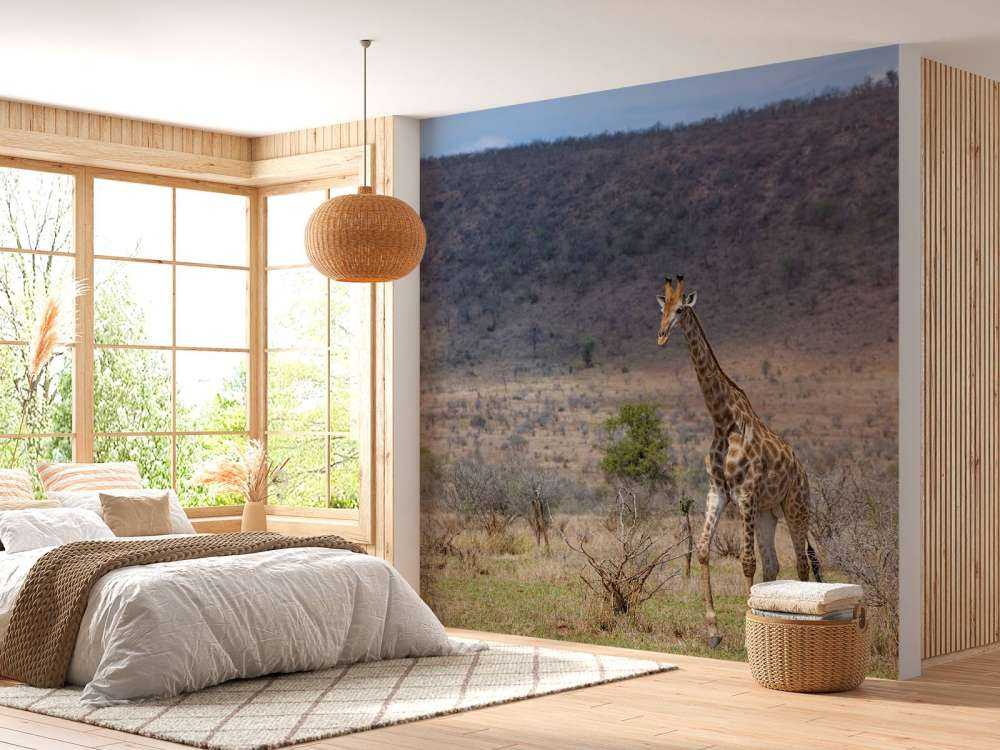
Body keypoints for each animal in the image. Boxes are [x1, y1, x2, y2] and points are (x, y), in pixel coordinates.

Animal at [656, 275, 821, 647]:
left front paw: (747, 638)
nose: (661, 334)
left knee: (802, 562)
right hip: (767, 513)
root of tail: (802, 470)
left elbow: (746, 561)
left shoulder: (745, 493)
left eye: (682, 309)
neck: (723, 420)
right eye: (662, 307)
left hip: (795, 506)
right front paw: (713, 631)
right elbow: (704, 550)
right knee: (774, 564)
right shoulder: (718, 491)